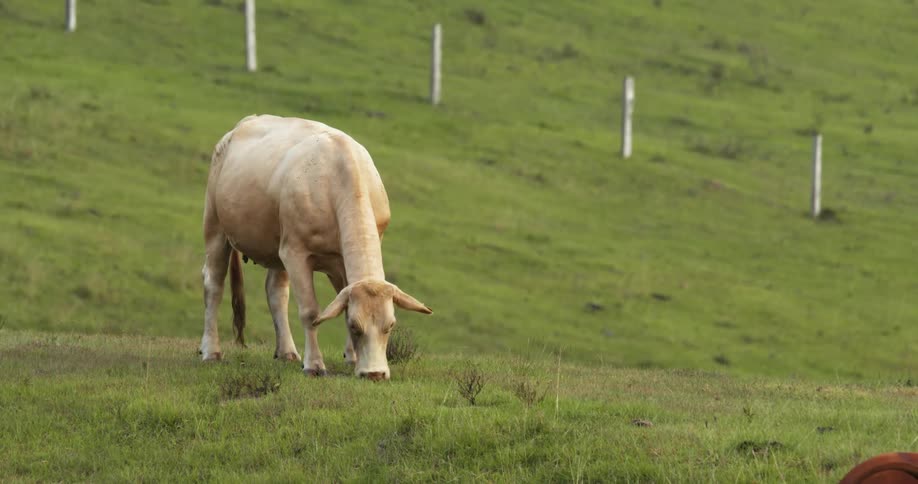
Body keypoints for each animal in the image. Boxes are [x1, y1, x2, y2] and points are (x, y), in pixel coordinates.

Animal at [199, 114, 432, 381]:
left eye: (390, 325)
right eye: (355, 325)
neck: (338, 177)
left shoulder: (338, 260)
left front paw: (352, 358)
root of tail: (244, 123)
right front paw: (314, 364)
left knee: (276, 292)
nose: (374, 373)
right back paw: (211, 351)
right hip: (216, 226)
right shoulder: (296, 252)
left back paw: (286, 351)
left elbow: (341, 301)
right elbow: (310, 312)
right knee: (214, 284)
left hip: (277, 245)